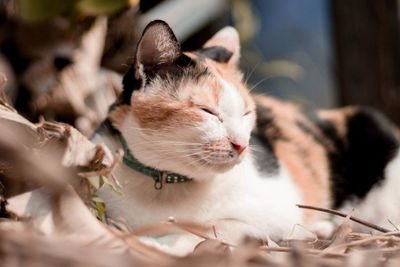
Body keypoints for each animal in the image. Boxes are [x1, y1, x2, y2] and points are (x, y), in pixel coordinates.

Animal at [92, 19, 400, 254]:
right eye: (208, 111)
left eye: (247, 113)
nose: (241, 145)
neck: (166, 181)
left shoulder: (274, 210)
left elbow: (211, 229)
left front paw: (153, 244)